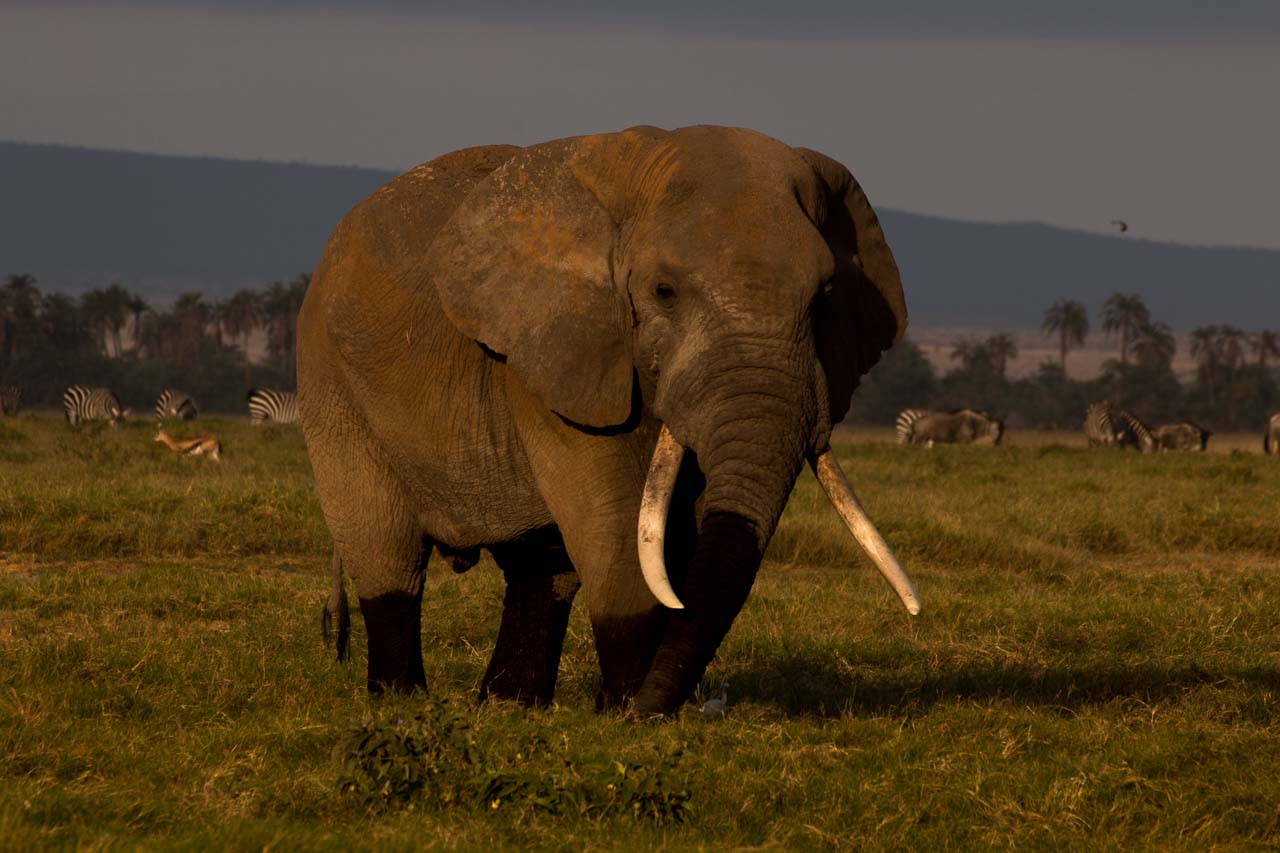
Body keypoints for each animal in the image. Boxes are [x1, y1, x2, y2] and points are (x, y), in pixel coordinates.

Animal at [299, 122, 921, 712]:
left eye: (825, 297)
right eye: (664, 291)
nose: (659, 709)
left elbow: (683, 528)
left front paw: (630, 707)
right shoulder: (554, 351)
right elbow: (616, 521)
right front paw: (626, 712)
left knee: (541, 566)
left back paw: (508, 706)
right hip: (331, 379)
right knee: (386, 551)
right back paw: (400, 698)